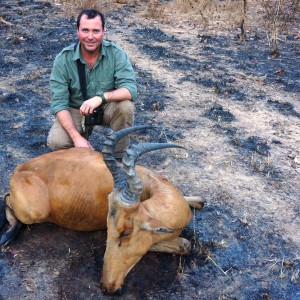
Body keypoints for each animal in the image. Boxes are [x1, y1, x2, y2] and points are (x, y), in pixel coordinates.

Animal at [0, 125, 204, 294]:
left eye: (126, 232)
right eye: (109, 229)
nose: (107, 287)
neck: (151, 185)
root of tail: (20, 169)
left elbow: (201, 201)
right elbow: (185, 244)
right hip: (35, 212)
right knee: (7, 199)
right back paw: (7, 235)